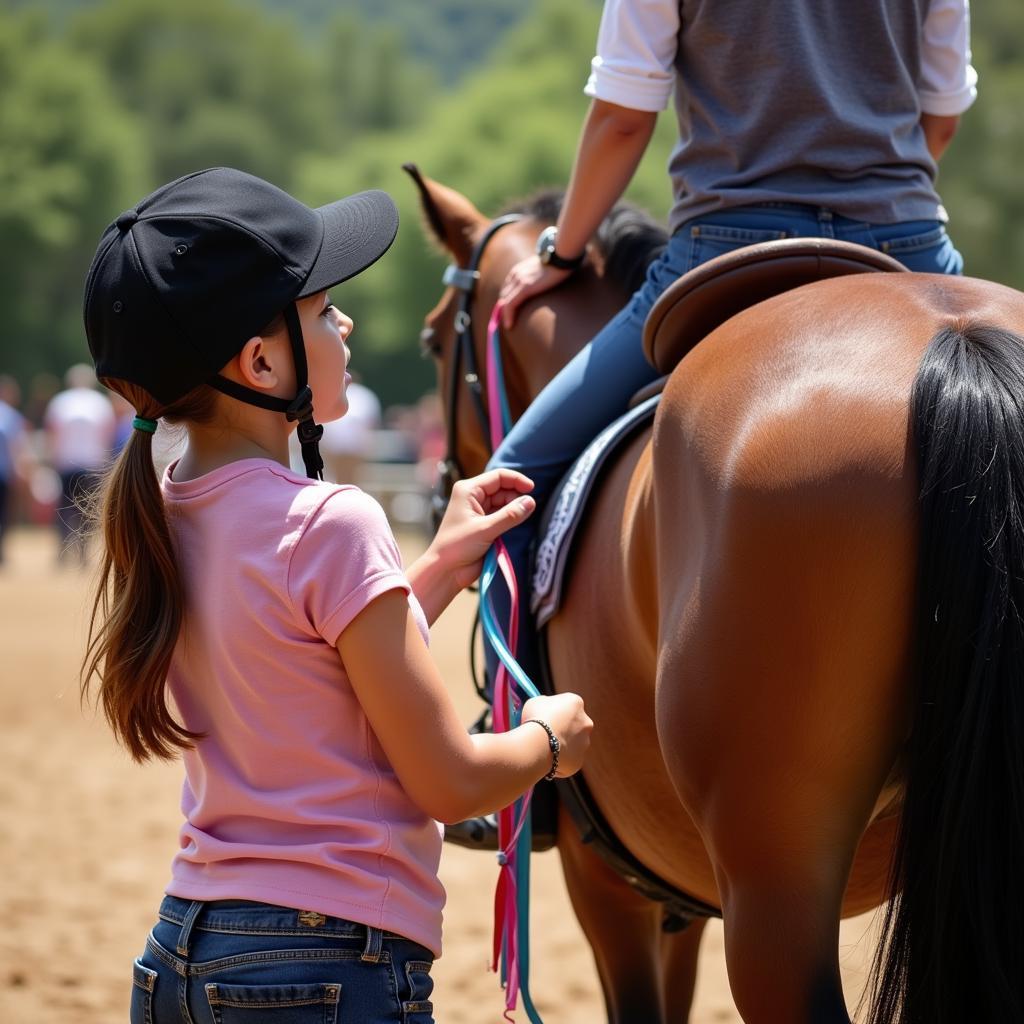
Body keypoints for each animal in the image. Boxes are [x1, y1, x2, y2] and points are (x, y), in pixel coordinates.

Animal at [403, 167, 1024, 1024]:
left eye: (435, 340)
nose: (441, 496)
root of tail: (957, 341)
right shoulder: (682, 895)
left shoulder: (609, 888)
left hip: (772, 876)